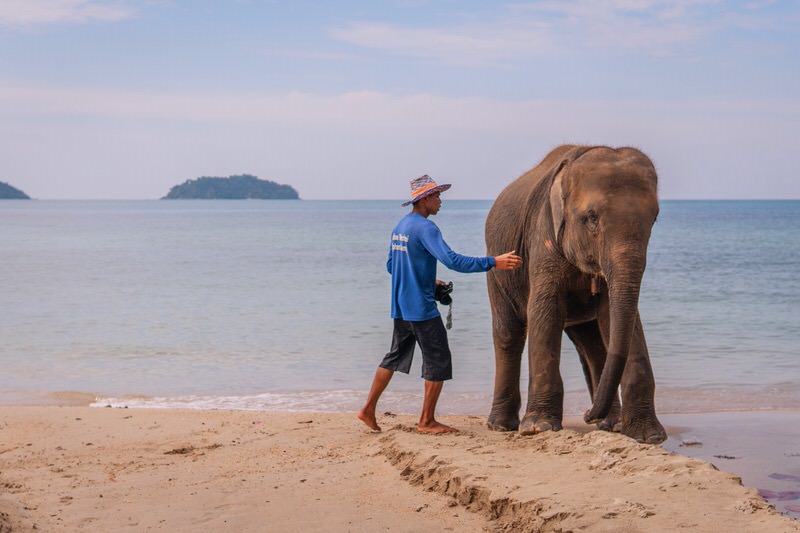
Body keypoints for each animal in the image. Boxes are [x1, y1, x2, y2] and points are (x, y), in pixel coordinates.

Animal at [484, 143, 664, 442]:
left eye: (654, 219)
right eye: (591, 218)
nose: (588, 415)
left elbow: (618, 318)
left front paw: (649, 436)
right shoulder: (543, 236)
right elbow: (545, 312)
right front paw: (538, 427)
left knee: (592, 343)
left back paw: (611, 424)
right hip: (497, 267)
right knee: (509, 332)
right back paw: (500, 425)